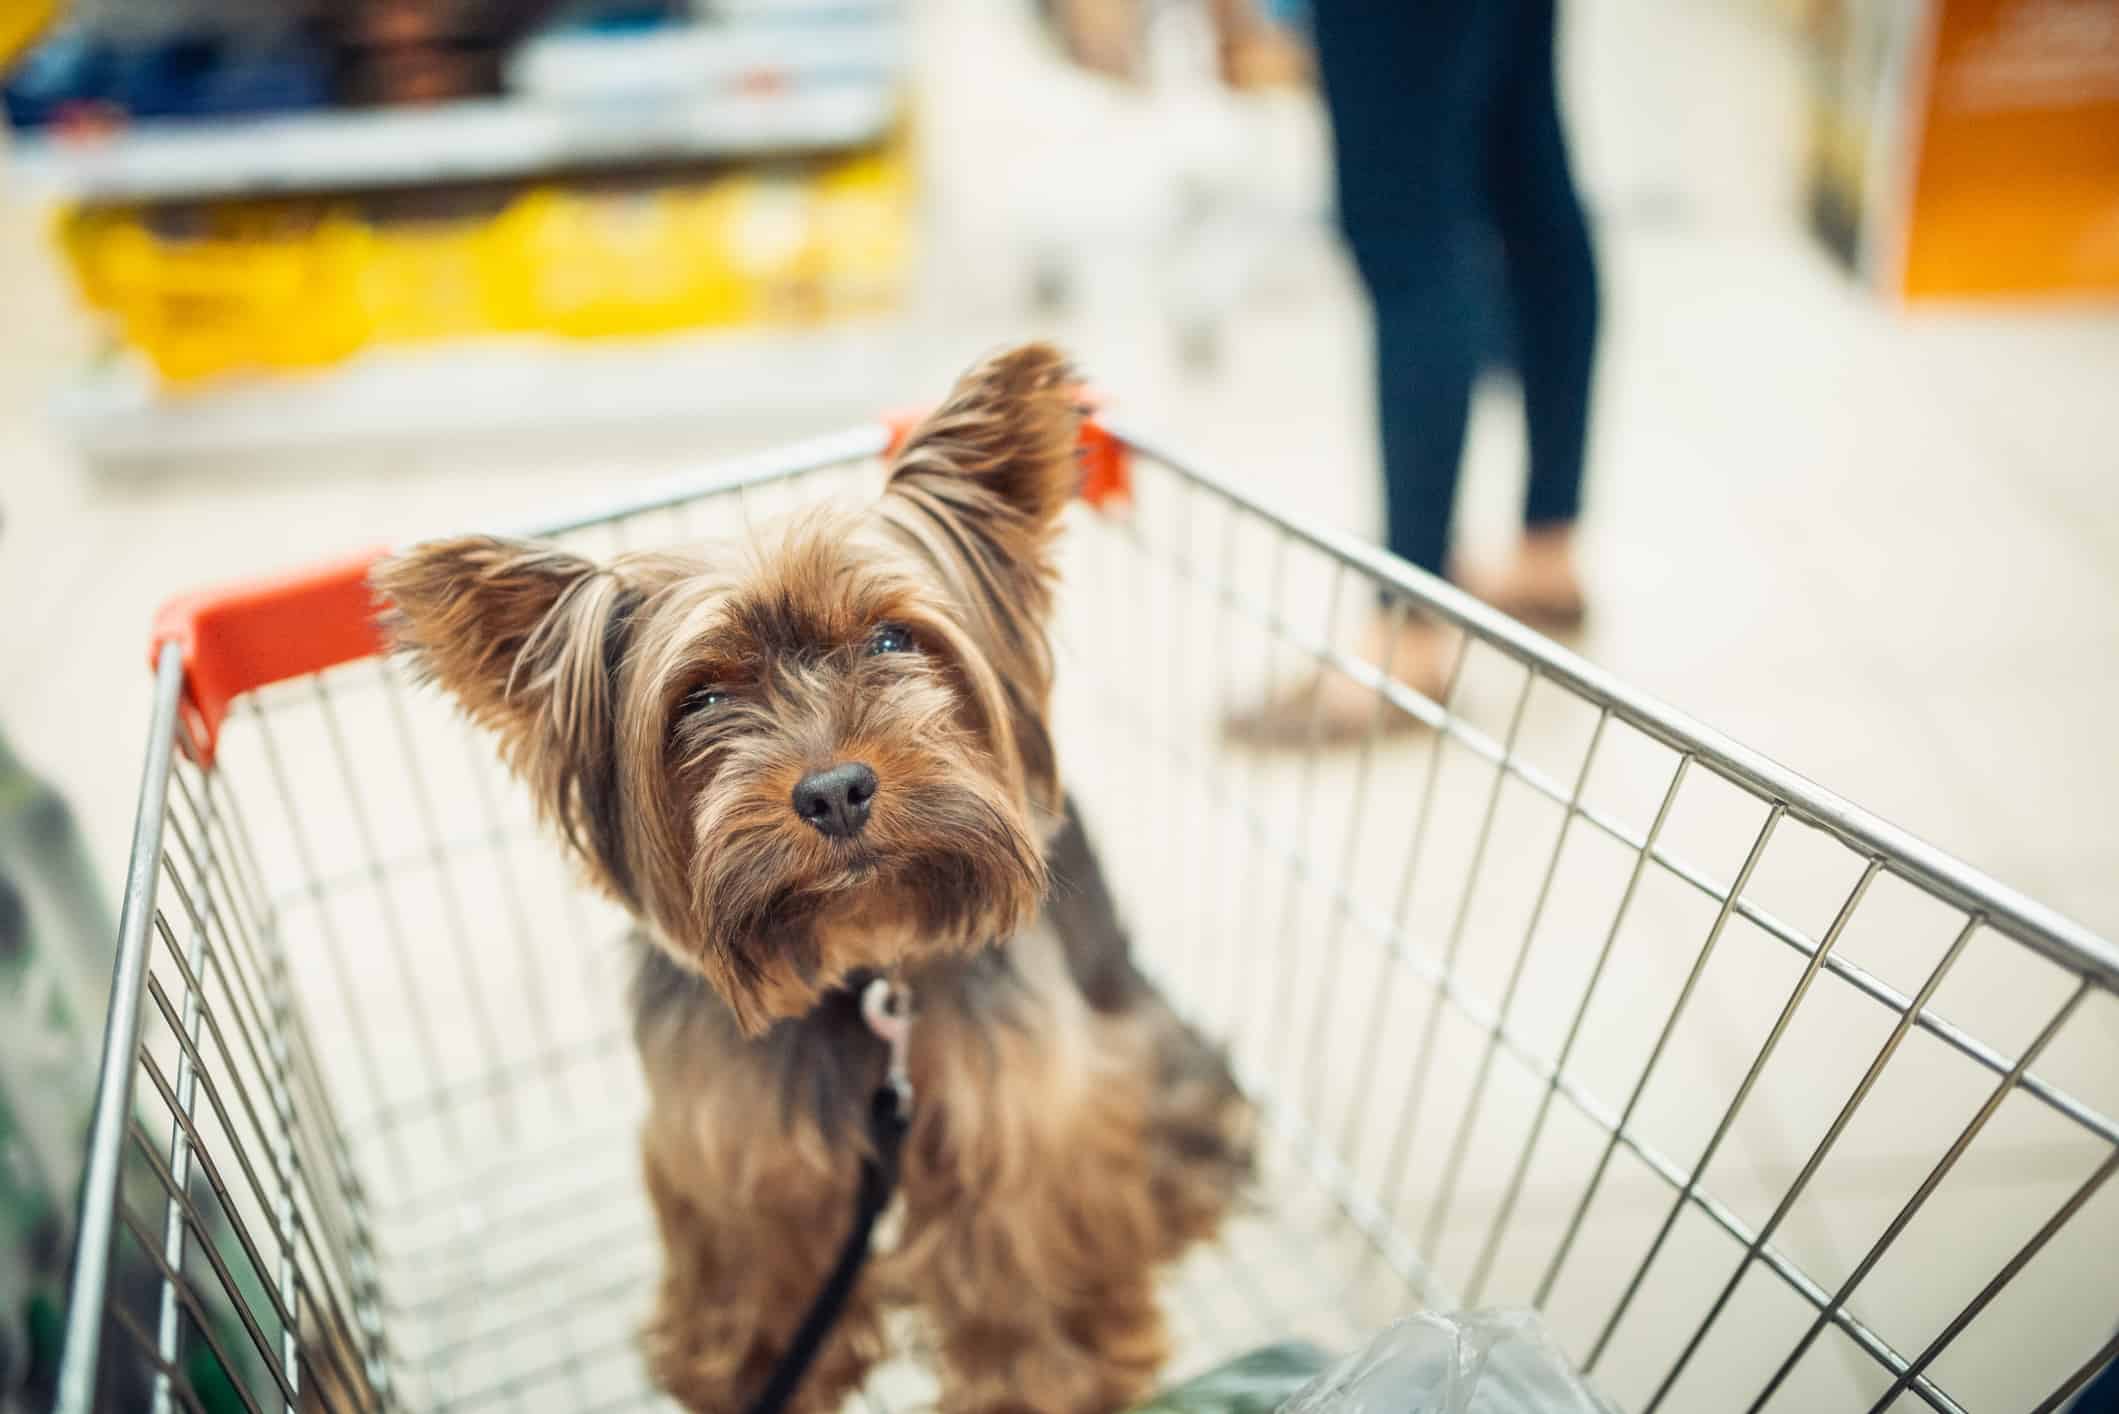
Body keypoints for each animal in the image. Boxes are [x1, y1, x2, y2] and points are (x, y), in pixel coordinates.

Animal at [372, 345, 1245, 1414]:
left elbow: (1021, 1258)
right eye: (702, 699)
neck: (860, 963)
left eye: (892, 639)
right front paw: (757, 1370)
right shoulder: (729, 1136)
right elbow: (758, 1258)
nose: (832, 790)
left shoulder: (1022, 1119)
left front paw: (1045, 1378)